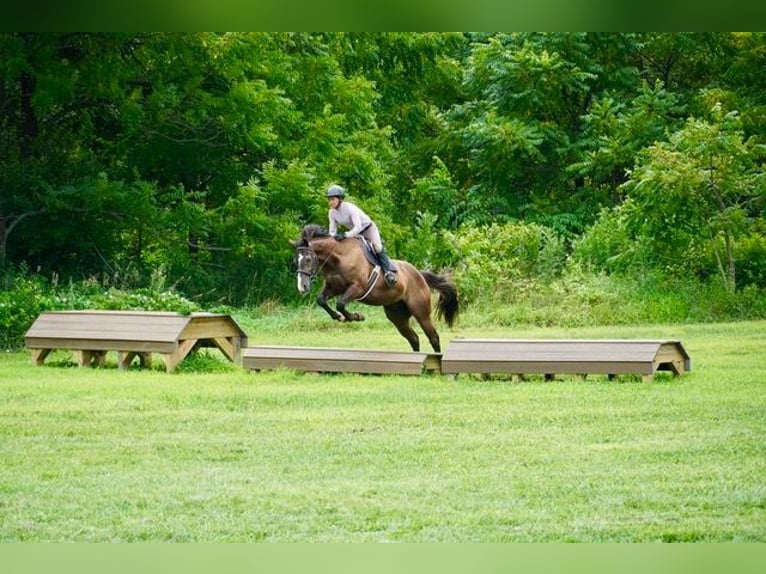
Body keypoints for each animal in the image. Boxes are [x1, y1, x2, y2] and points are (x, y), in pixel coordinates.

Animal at [292, 224, 459, 353]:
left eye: (308, 259)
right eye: (295, 261)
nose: (302, 287)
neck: (339, 257)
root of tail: (420, 275)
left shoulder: (357, 287)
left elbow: (340, 304)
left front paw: (356, 316)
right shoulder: (334, 287)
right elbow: (321, 300)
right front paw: (339, 317)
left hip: (421, 312)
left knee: (433, 337)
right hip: (396, 315)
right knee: (414, 338)